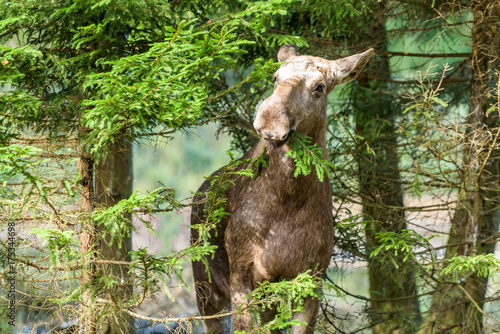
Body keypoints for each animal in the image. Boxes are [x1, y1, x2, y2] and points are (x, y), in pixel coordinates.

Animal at [189, 45, 374, 334]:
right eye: (275, 77)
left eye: (319, 87)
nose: (269, 121)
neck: (288, 200)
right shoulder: (241, 273)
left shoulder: (311, 278)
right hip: (206, 288)